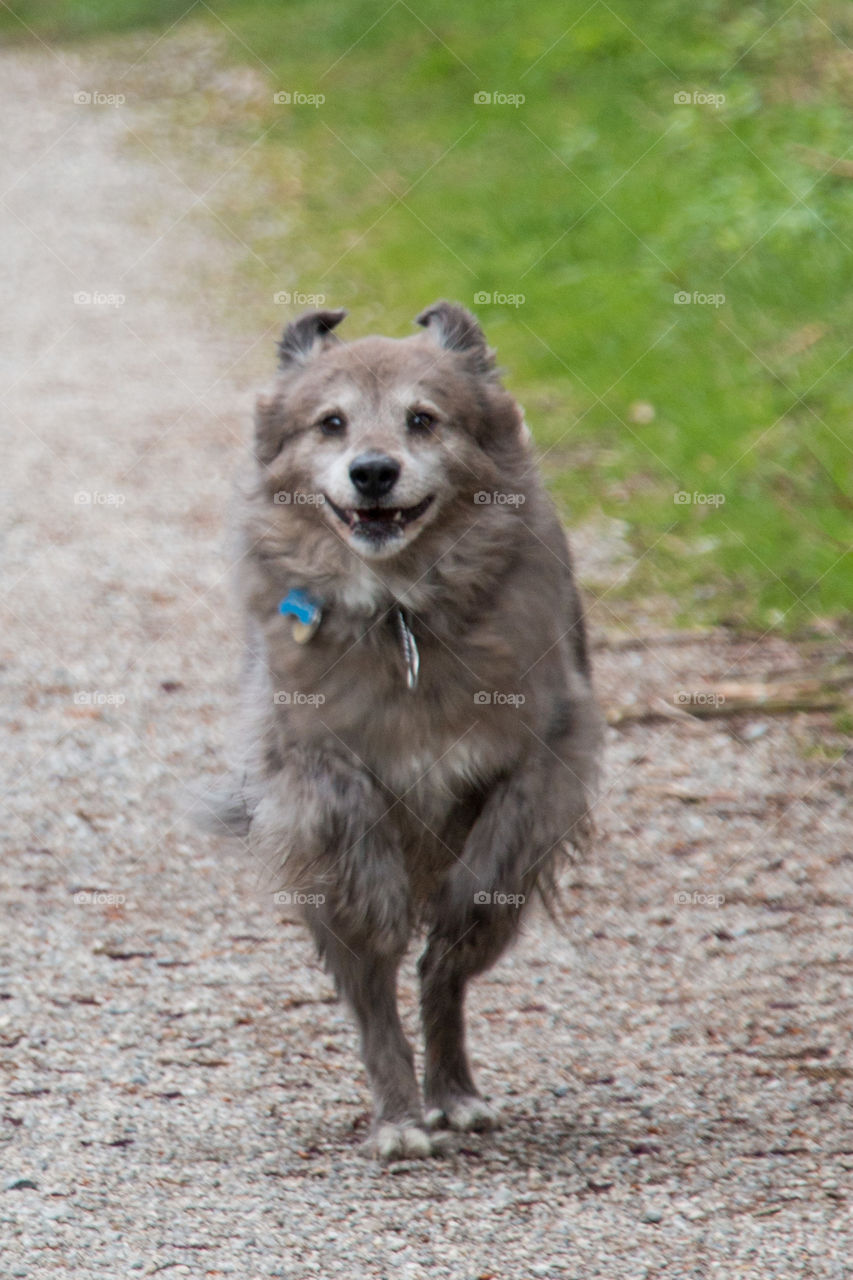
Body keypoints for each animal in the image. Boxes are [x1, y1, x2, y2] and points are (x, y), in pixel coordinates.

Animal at [201, 299, 596, 1162]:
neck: (400, 611)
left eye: (423, 419)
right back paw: (399, 1116)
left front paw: (453, 918)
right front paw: (381, 895)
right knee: (373, 990)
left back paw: (450, 1094)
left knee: (439, 978)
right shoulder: (304, 760)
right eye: (330, 423)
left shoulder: (547, 753)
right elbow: (349, 819)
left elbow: (482, 879)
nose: (373, 471)